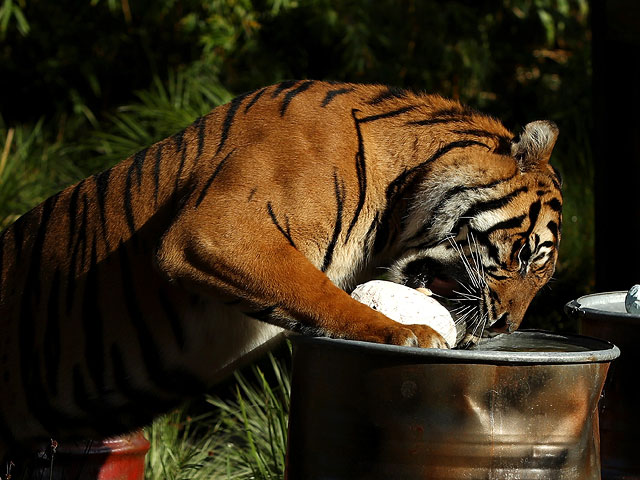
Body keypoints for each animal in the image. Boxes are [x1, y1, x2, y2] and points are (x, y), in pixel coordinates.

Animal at [0, 79, 560, 458]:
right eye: (526, 254)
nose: (505, 327)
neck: (401, 186)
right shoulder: (219, 228)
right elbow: (319, 291)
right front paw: (403, 333)